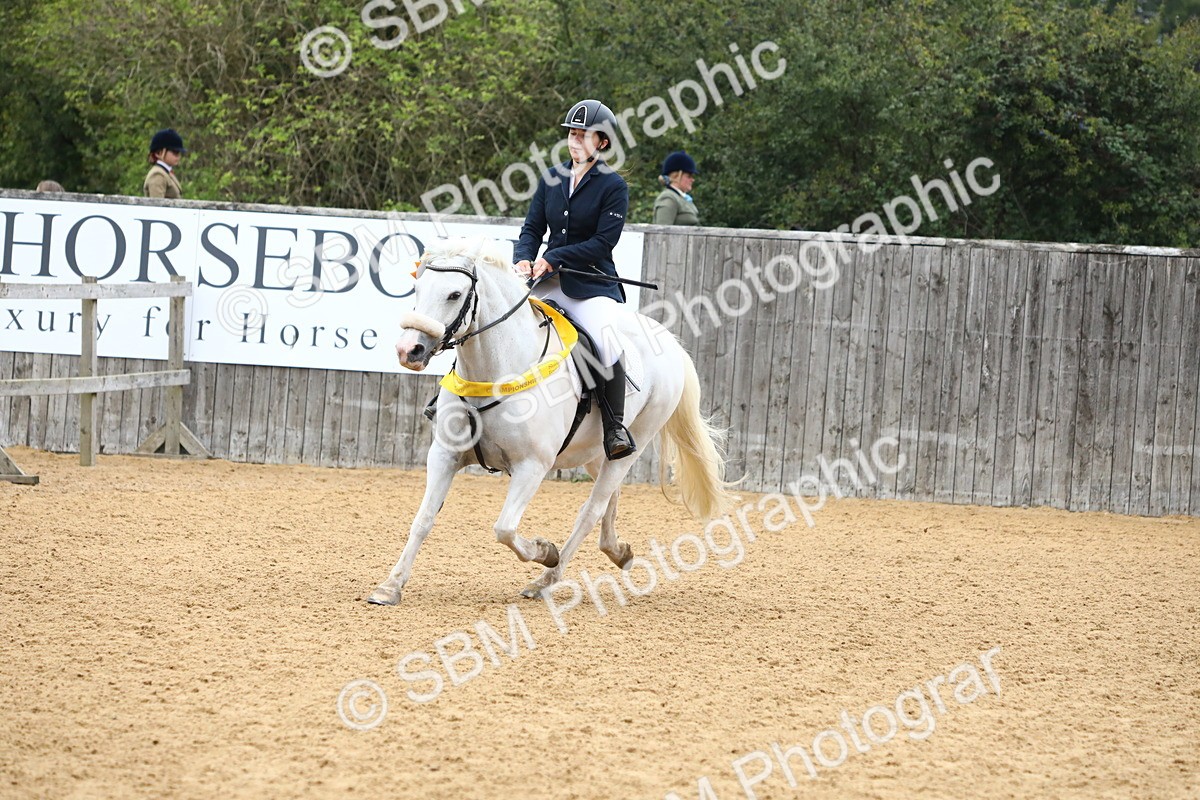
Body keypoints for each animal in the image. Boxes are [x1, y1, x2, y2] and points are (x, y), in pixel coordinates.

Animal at [366, 239, 734, 605]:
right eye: (417, 288)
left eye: (455, 294)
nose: (408, 350)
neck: (499, 369)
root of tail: (670, 343)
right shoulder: (444, 454)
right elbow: (423, 519)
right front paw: (390, 586)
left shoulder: (532, 465)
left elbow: (504, 528)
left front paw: (545, 551)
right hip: (594, 453)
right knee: (609, 499)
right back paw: (619, 552)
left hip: (634, 443)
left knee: (590, 510)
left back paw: (547, 579)